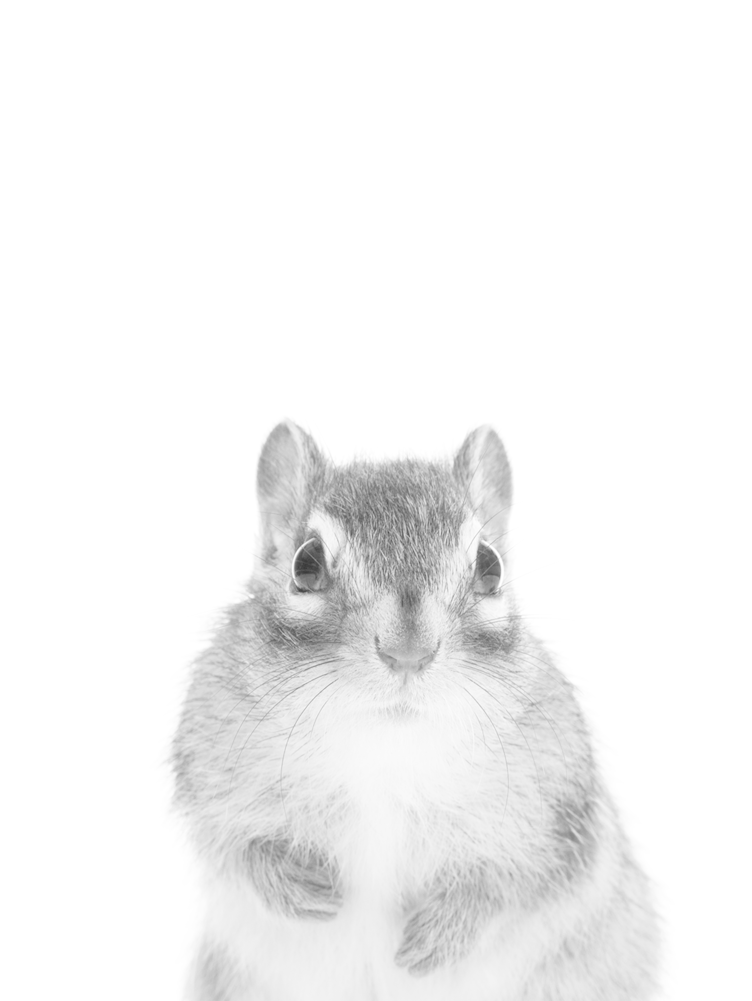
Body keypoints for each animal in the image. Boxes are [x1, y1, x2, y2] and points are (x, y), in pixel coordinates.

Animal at [173, 421, 659, 1000]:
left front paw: (440, 935)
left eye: (490, 566)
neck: (387, 748)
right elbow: (237, 849)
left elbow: (514, 883)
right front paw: (300, 888)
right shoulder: (209, 772)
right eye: (304, 564)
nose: (408, 652)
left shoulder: (557, 819)